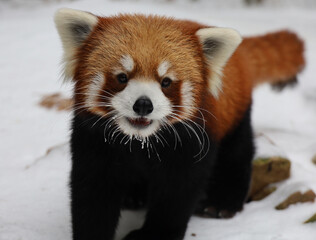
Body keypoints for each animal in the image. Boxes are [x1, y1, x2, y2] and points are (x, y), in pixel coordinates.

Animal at [54, 7, 304, 240]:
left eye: (166, 82)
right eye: (122, 77)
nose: (143, 105)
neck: (142, 140)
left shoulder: (192, 139)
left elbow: (176, 193)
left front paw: (154, 234)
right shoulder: (93, 138)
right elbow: (93, 193)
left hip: (233, 113)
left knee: (237, 152)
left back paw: (222, 203)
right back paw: (134, 195)